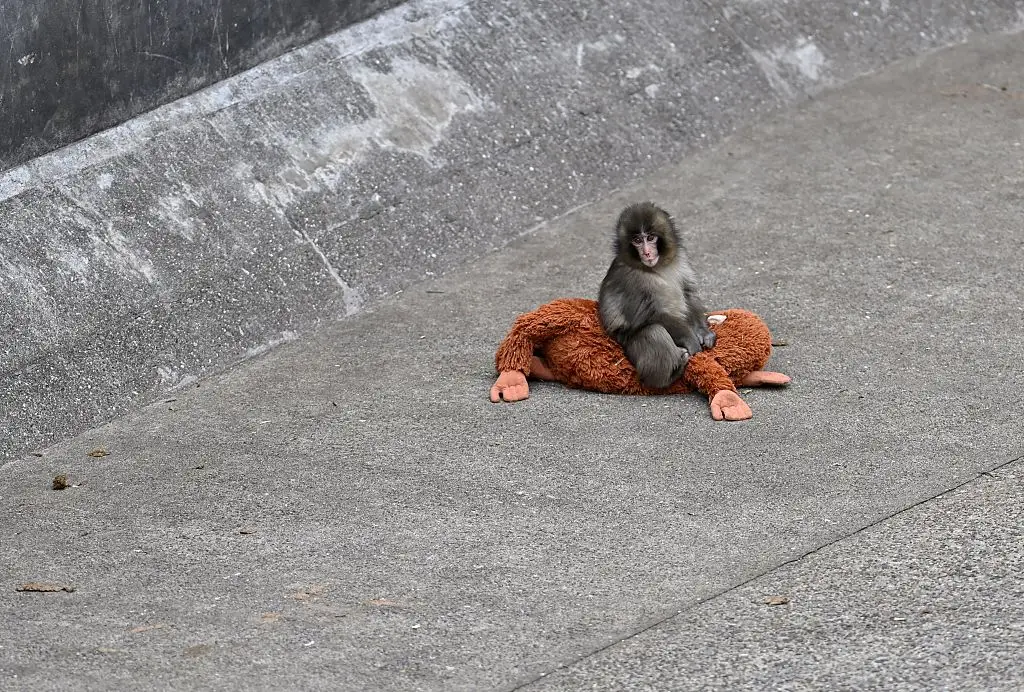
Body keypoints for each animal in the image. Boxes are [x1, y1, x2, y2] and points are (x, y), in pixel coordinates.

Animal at [598, 202, 716, 390]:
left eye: (651, 237)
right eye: (637, 240)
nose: (647, 253)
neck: (656, 267)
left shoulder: (680, 257)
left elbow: (688, 293)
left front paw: (703, 332)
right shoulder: (630, 279)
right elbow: (652, 315)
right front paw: (691, 340)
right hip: (629, 345)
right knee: (653, 331)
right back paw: (669, 376)